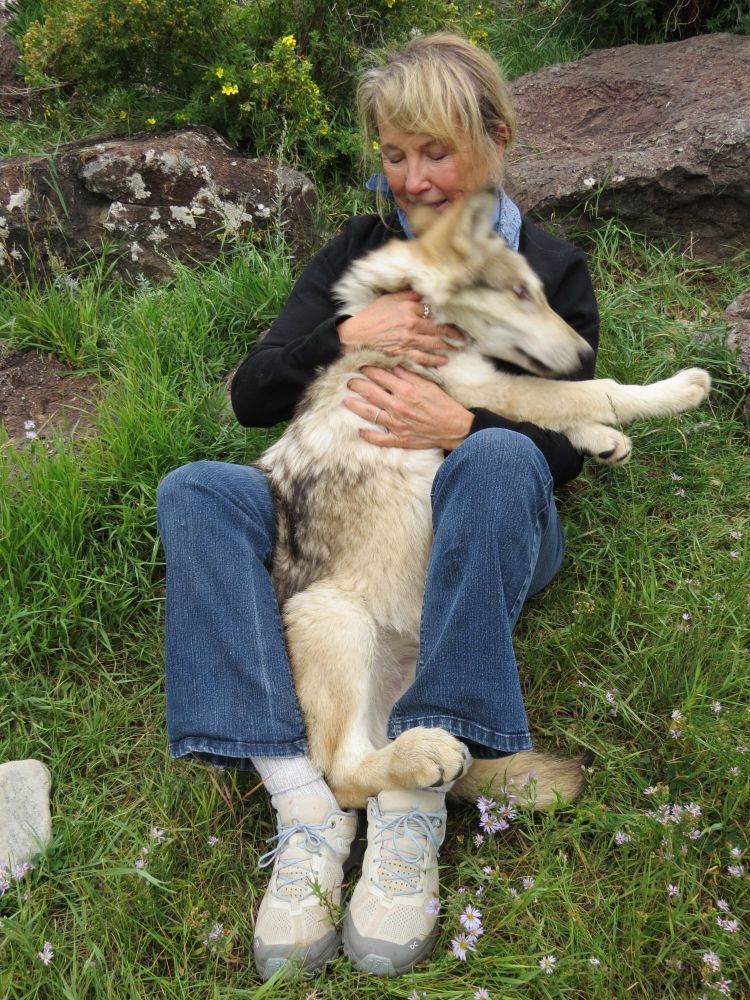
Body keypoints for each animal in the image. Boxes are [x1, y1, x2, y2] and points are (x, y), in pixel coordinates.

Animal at [255, 187, 711, 811]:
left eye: (539, 292)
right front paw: (679, 390)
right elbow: (598, 392)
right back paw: (425, 753)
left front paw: (605, 441)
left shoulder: (490, 391)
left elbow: (565, 412)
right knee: (343, 773)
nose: (583, 348)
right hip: (335, 620)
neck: (418, 310)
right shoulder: (485, 385)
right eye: (518, 293)